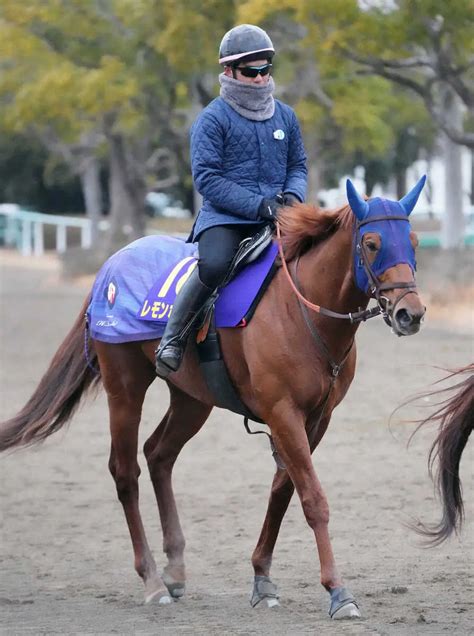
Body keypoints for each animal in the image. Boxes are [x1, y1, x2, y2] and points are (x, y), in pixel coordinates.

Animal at [0, 179, 428, 620]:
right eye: (373, 243)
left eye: (412, 241)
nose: (410, 313)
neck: (302, 311)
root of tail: (112, 266)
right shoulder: (283, 412)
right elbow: (312, 498)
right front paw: (338, 591)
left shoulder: (316, 419)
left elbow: (282, 490)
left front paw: (262, 579)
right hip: (125, 388)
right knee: (125, 472)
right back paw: (152, 581)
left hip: (193, 399)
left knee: (158, 454)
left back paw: (174, 569)